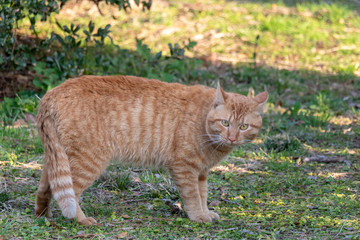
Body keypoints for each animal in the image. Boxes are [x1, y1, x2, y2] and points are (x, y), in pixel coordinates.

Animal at [35, 75, 268, 225]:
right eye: (225, 123)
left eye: (244, 126)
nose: (232, 137)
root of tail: (51, 94)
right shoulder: (184, 167)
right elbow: (193, 196)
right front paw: (198, 217)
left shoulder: (201, 172)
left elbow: (203, 194)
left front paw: (206, 212)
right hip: (88, 160)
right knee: (71, 194)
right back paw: (81, 220)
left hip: (58, 158)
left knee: (48, 187)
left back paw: (43, 215)